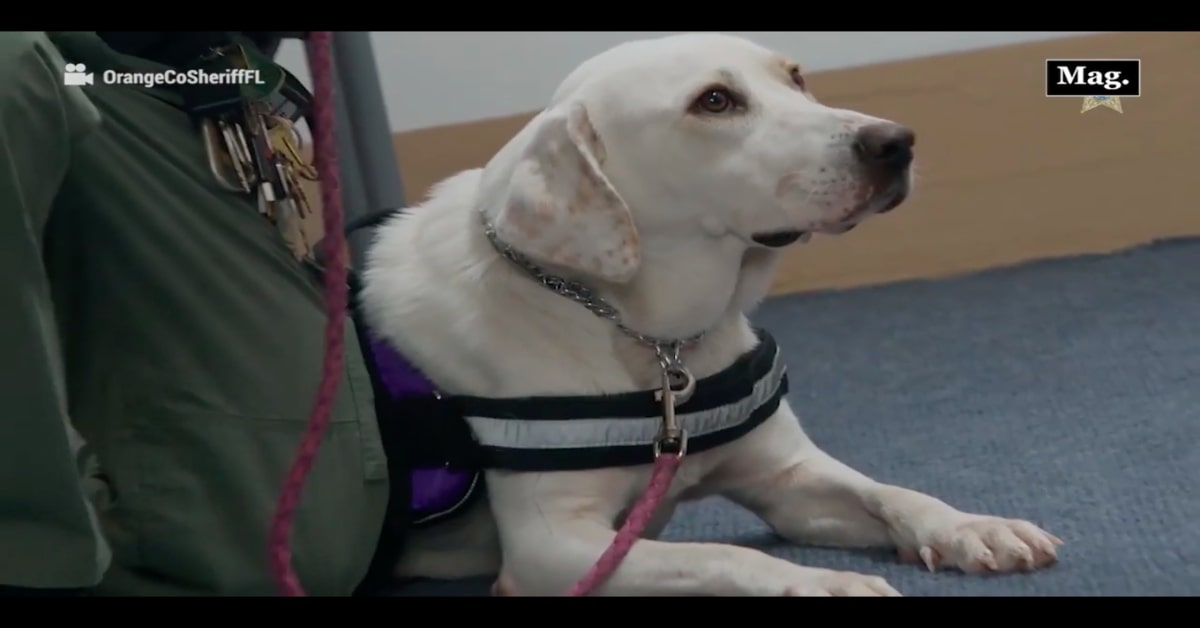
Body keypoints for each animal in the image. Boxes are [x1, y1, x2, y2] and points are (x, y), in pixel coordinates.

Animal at [360, 31, 1065, 597]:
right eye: (715, 102)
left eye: (796, 76)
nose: (896, 142)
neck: (650, 336)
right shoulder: (552, 550)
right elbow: (719, 554)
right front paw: (825, 583)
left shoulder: (786, 479)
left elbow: (889, 492)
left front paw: (971, 526)